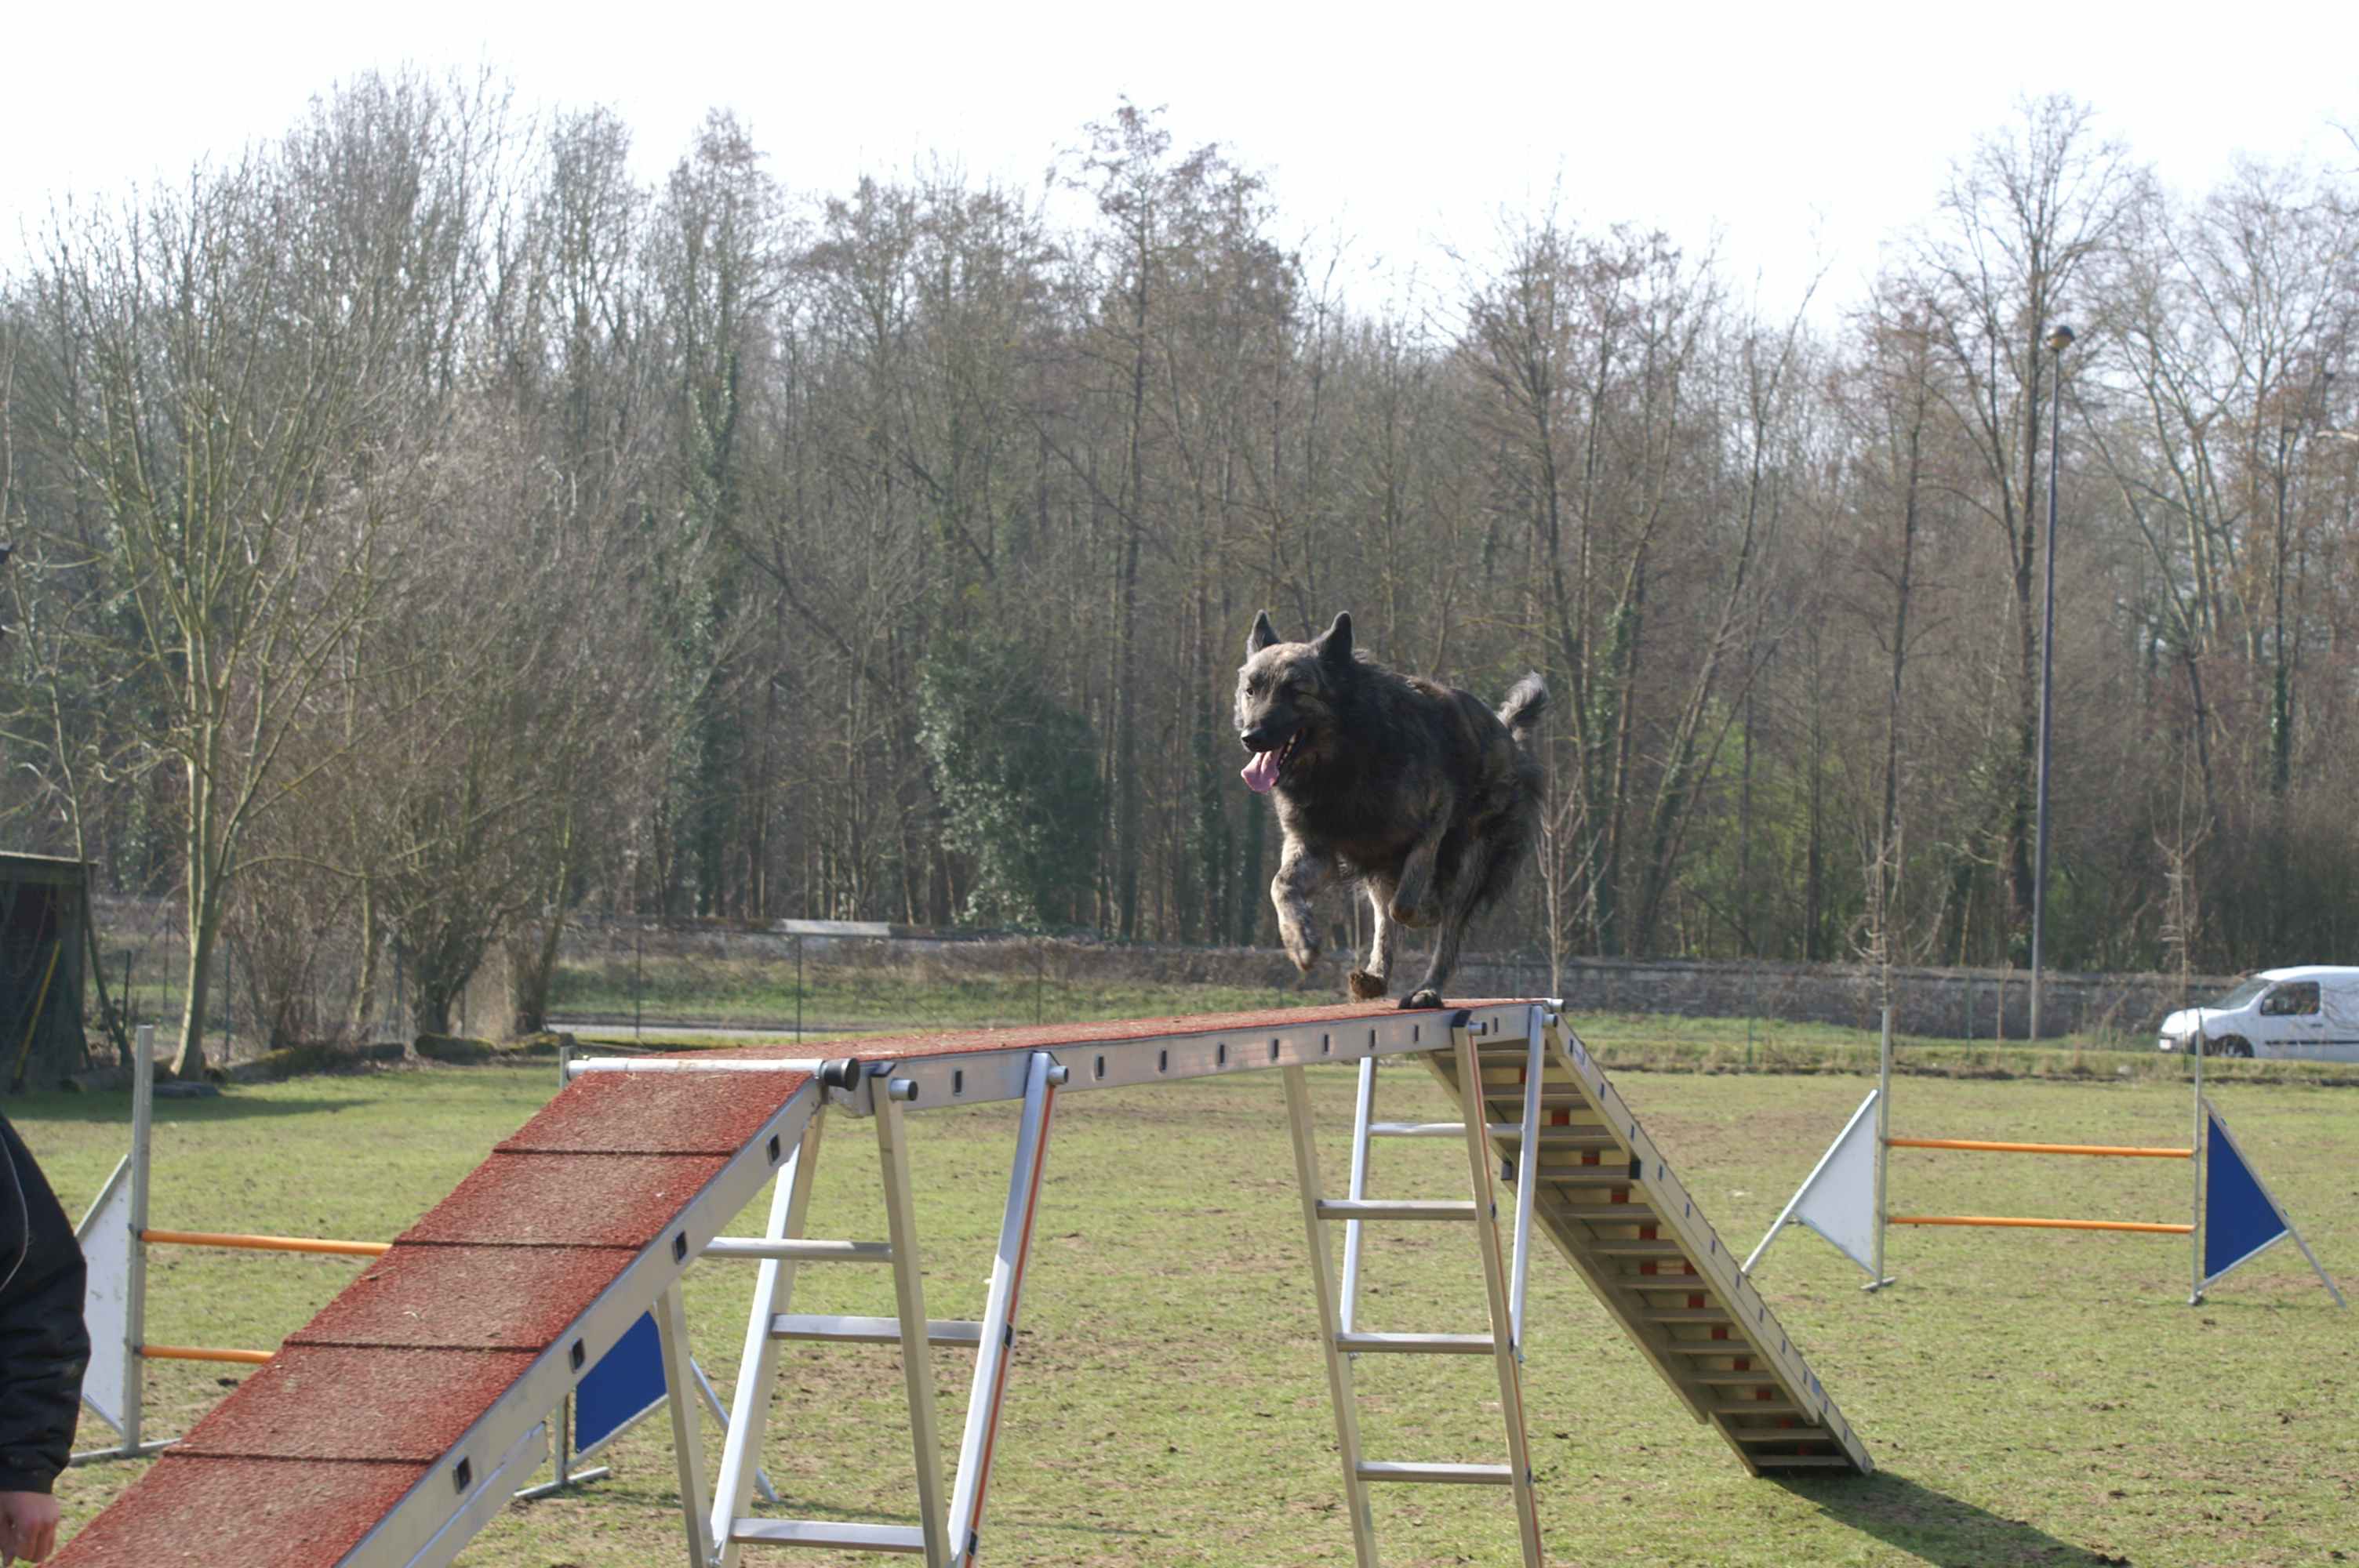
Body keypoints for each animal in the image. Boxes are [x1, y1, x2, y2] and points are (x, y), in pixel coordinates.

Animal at [1236, 611, 1546, 1009]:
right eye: (1251, 690)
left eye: (1295, 691)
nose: (1251, 737)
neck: (1345, 756)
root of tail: (1510, 739)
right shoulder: (1314, 847)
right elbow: (1282, 884)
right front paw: (1299, 940)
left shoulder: (1429, 830)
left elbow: (1408, 905)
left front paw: (1428, 911)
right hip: (1379, 866)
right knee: (1385, 919)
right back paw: (1375, 977)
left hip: (1470, 860)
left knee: (1444, 929)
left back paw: (1428, 988)